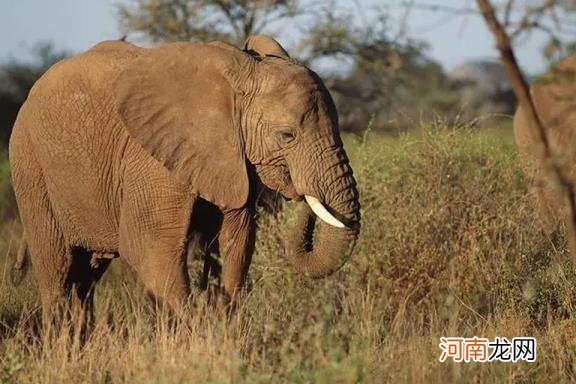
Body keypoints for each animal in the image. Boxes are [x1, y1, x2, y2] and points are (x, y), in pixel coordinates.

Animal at [9, 34, 360, 326]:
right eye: (287, 135)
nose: (303, 198)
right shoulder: (151, 159)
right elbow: (149, 248)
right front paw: (195, 330)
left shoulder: (234, 160)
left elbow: (235, 242)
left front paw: (220, 325)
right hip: (29, 167)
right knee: (58, 271)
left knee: (85, 278)